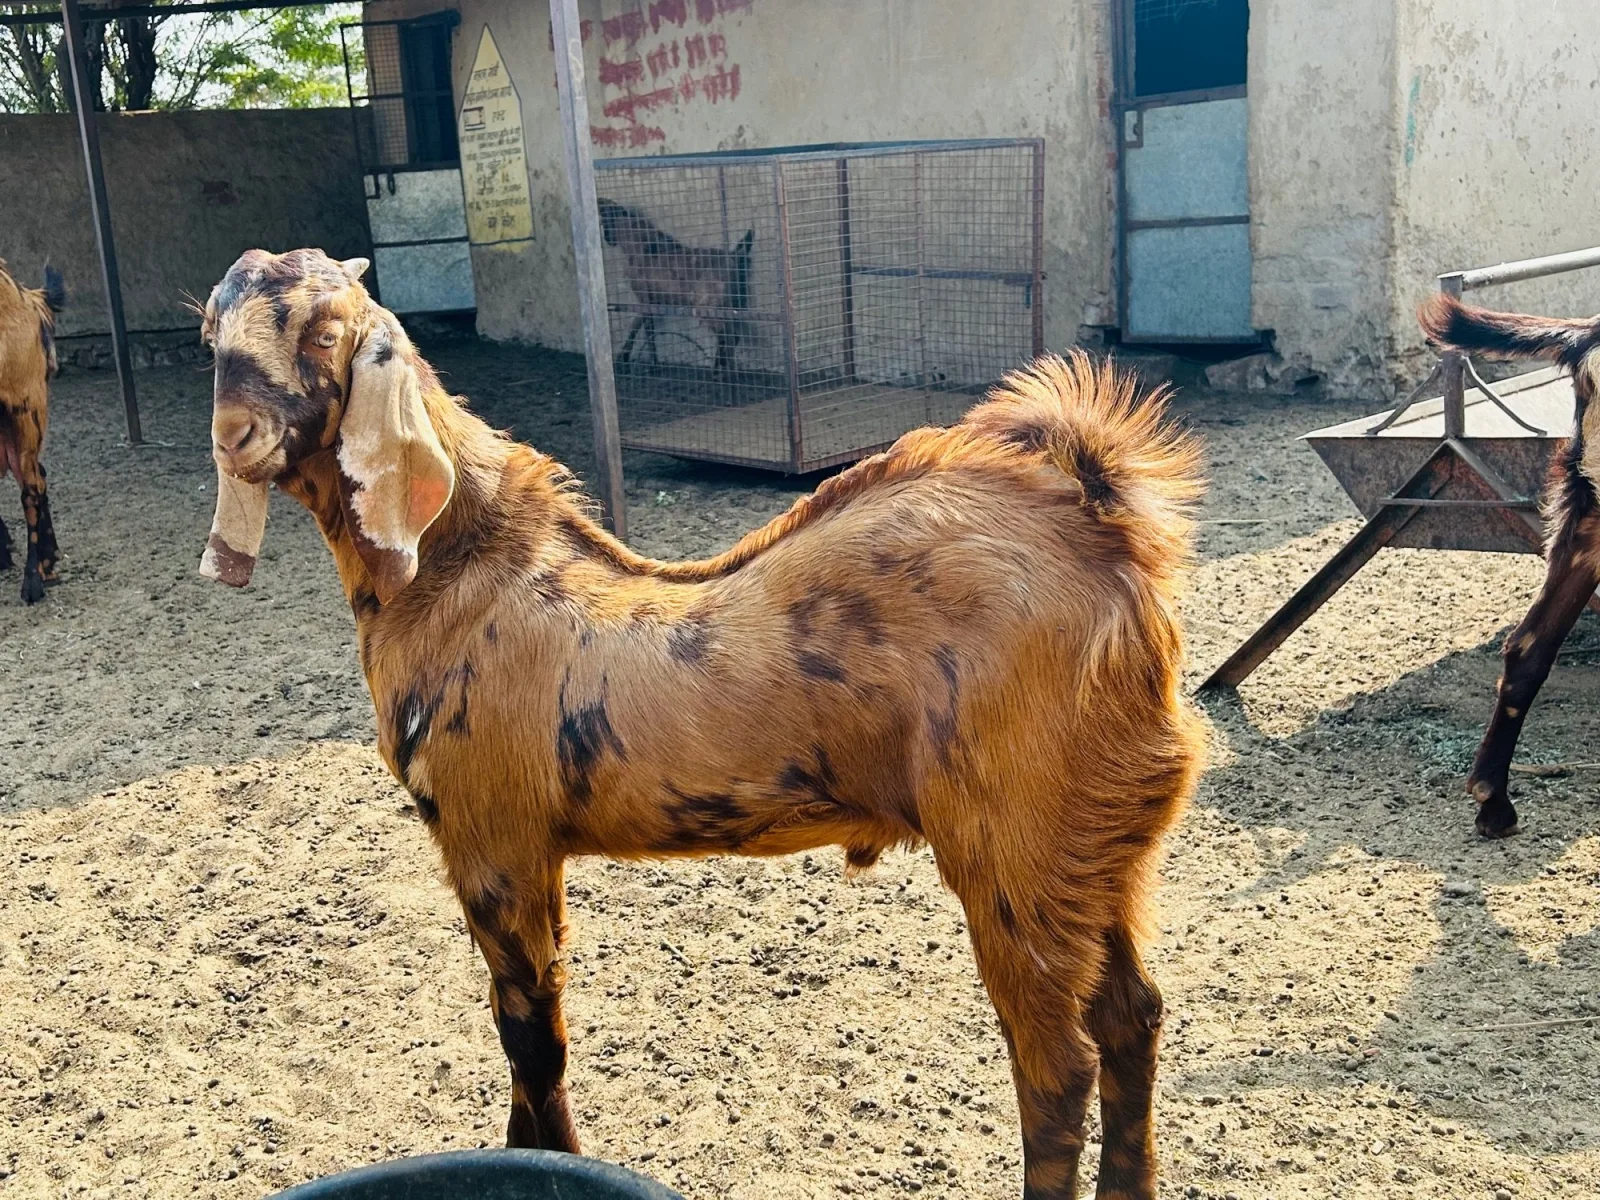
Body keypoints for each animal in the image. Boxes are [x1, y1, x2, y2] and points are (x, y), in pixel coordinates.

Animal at [197, 247, 1206, 1200]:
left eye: (326, 332)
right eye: (211, 336)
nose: (234, 437)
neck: (461, 571)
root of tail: (1106, 534)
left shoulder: (491, 841)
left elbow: (531, 1036)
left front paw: (546, 1158)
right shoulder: (532, 851)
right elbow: (538, 1020)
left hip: (1011, 846)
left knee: (1056, 1067)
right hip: (1095, 842)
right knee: (1133, 1015)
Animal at [597, 198, 755, 377]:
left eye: (604, 220)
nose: (608, 239)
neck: (643, 246)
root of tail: (735, 257)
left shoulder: (644, 299)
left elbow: (642, 328)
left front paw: (634, 358)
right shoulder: (653, 302)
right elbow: (643, 327)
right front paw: (640, 358)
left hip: (706, 307)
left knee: (727, 337)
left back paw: (723, 373)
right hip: (733, 307)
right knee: (731, 337)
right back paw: (720, 369)